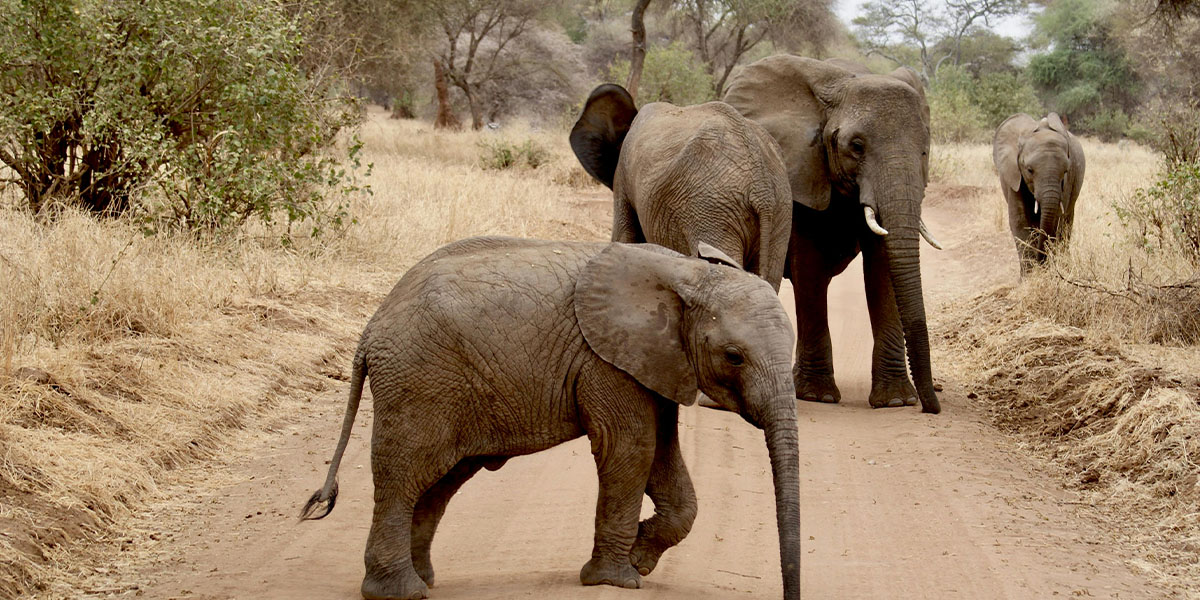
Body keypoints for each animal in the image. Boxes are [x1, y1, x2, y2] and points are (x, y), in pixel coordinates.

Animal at [720, 55, 945, 412]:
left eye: (925, 150)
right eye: (857, 146)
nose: (930, 407)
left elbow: (883, 269)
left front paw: (896, 401)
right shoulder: (802, 168)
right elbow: (809, 266)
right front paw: (817, 396)